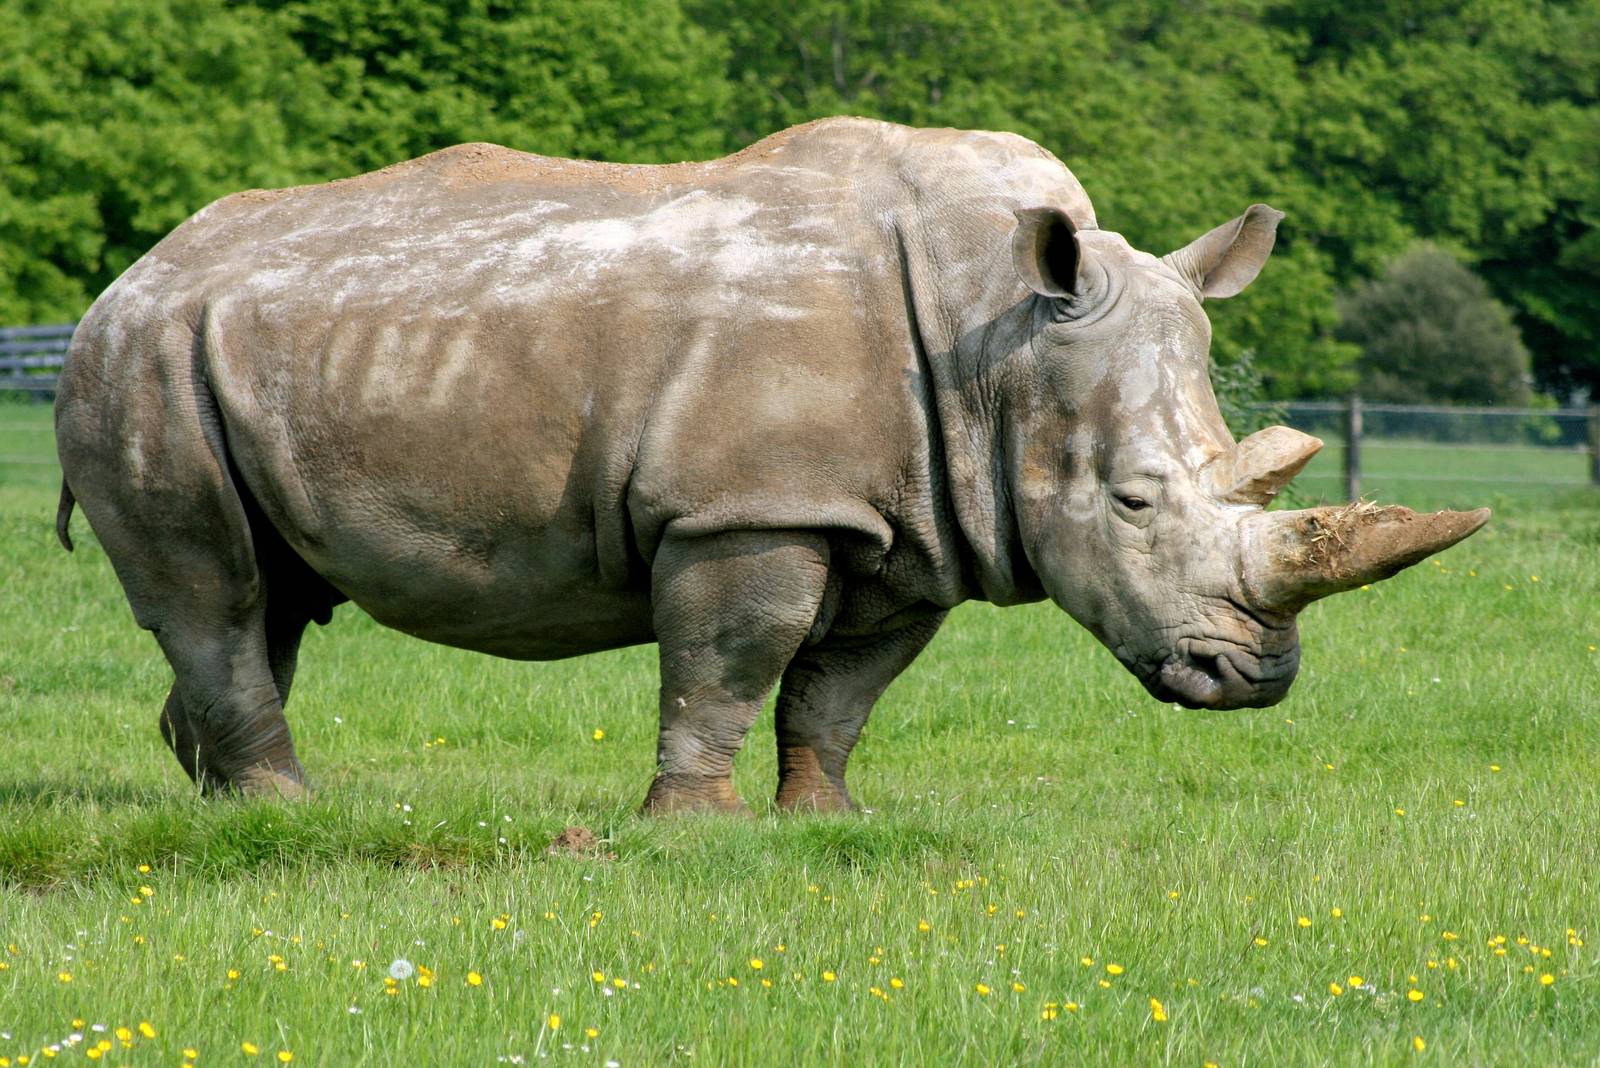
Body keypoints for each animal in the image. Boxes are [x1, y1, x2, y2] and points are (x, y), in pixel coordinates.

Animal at [54, 117, 1488, 813]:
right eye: (1134, 503)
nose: (1256, 681)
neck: (1002, 331)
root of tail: (130, 275)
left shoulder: (917, 520)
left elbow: (842, 689)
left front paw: (825, 822)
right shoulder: (748, 509)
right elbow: (732, 661)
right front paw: (694, 828)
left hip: (225, 355)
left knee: (271, 596)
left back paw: (219, 808)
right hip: (142, 361)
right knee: (217, 592)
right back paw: (288, 812)